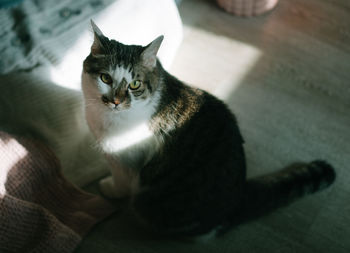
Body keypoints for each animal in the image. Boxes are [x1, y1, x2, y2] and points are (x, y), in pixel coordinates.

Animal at [80, 20, 334, 236]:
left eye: (134, 84)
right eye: (105, 78)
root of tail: (237, 198)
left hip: (151, 202)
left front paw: (109, 188)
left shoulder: (126, 161)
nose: (116, 101)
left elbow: (121, 182)